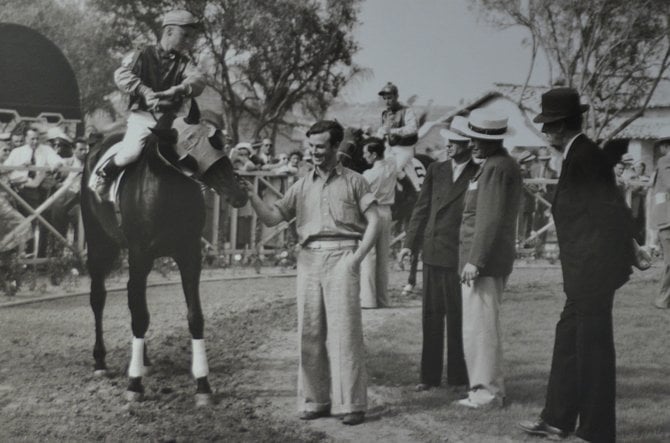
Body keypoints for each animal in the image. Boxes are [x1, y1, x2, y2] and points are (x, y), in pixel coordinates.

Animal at [80, 102, 249, 408]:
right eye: (189, 154)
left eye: (218, 141)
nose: (238, 193)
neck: (167, 192)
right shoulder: (140, 254)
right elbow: (140, 316)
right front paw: (134, 384)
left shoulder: (189, 255)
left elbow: (195, 316)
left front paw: (203, 384)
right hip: (100, 244)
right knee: (98, 297)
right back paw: (100, 361)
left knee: (131, 295)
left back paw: (144, 359)